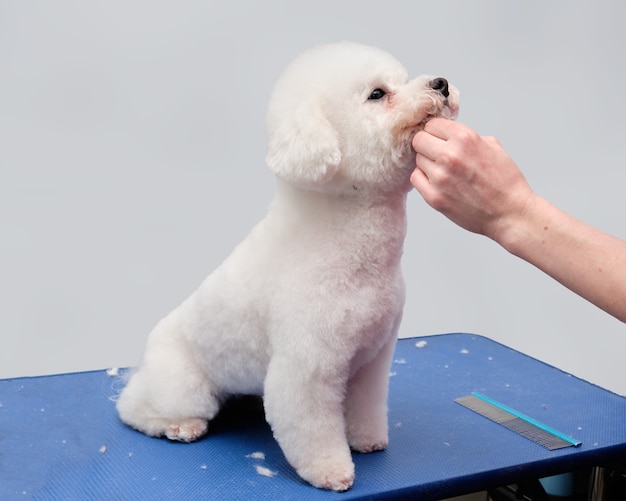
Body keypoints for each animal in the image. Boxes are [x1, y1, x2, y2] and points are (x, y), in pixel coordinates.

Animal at [116, 41, 458, 490]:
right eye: (378, 94)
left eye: (402, 79)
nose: (442, 83)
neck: (356, 255)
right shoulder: (307, 365)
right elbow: (312, 426)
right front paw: (331, 470)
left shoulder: (372, 359)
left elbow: (365, 405)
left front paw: (367, 440)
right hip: (182, 383)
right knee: (134, 408)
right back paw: (177, 424)